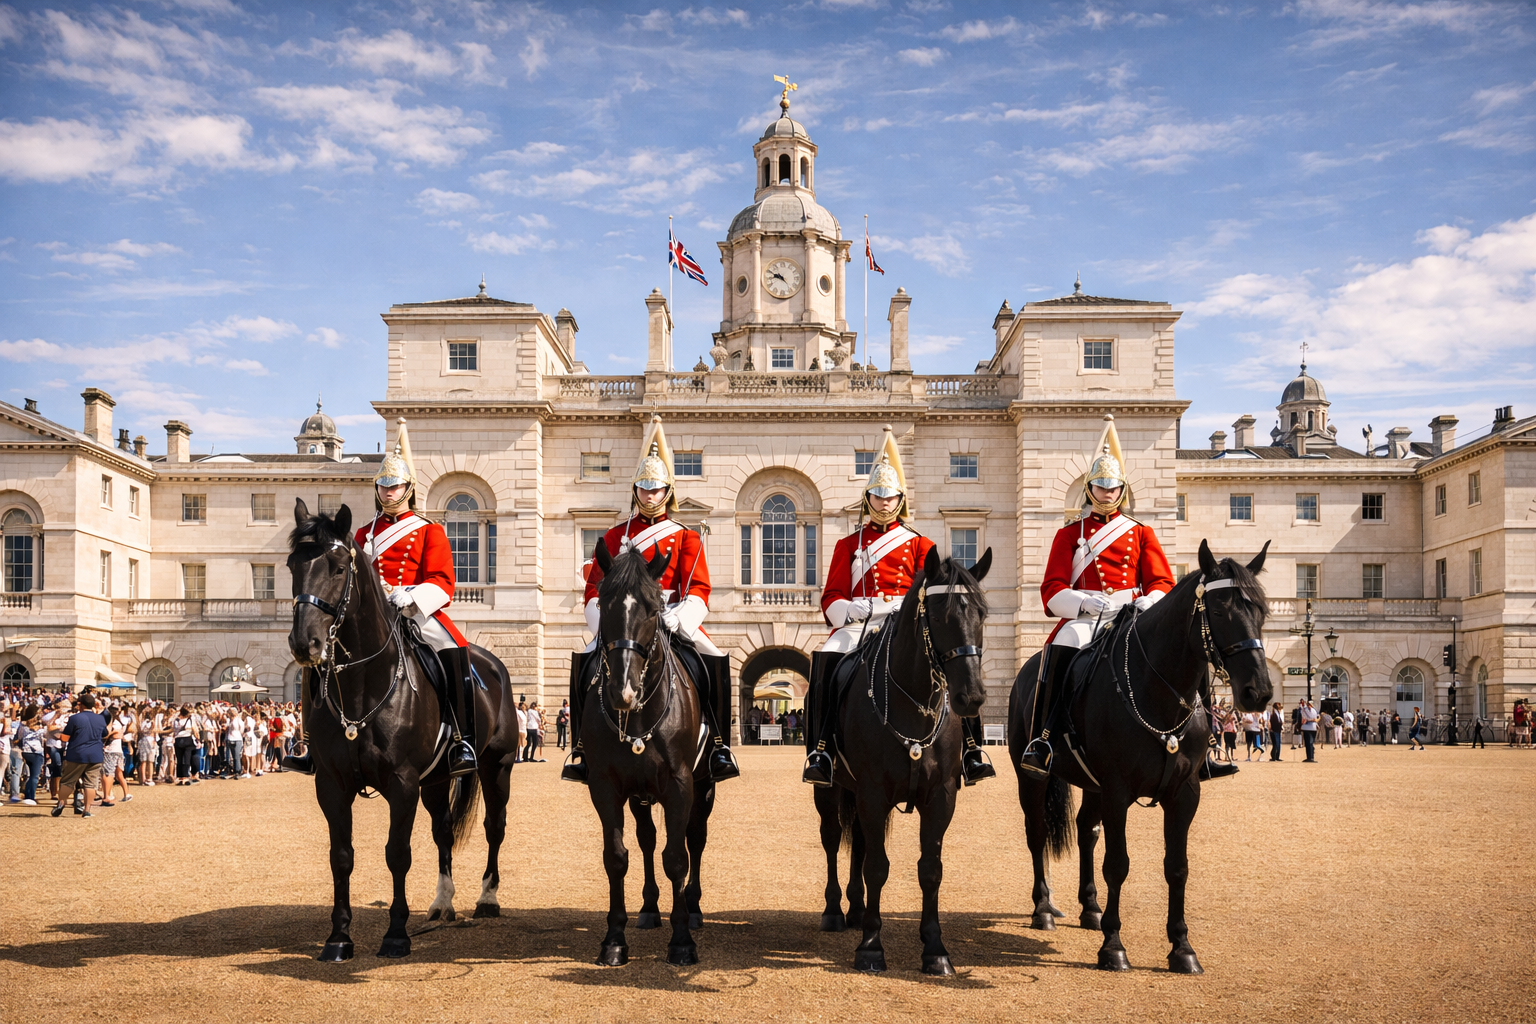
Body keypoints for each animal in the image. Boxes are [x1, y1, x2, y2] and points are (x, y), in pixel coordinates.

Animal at [286, 500, 521, 961]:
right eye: (291, 565)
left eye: (338, 567)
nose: (305, 645)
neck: (361, 686)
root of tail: (489, 660)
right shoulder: (332, 784)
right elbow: (341, 857)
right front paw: (339, 937)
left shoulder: (402, 782)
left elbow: (398, 853)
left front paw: (396, 934)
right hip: (437, 779)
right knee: (443, 830)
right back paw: (443, 903)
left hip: (495, 766)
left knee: (494, 827)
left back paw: (487, 898)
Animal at [582, 540, 716, 967]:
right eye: (604, 603)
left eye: (655, 607)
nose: (622, 693)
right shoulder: (605, 786)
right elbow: (616, 856)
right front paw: (614, 939)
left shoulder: (681, 784)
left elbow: (677, 857)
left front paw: (682, 942)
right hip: (640, 795)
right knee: (646, 840)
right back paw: (648, 908)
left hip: (704, 787)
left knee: (695, 838)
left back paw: (693, 910)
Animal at [813, 546, 992, 975]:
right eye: (939, 616)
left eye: (982, 614)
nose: (971, 698)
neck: (916, 702)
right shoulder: (873, 793)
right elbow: (878, 866)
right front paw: (871, 948)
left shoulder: (940, 796)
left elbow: (930, 869)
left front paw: (935, 949)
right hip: (831, 790)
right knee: (833, 839)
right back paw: (834, 911)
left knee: (859, 843)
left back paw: (856, 910)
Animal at [1006, 539, 1273, 974]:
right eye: (1218, 611)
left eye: (1261, 612)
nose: (1258, 693)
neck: (1157, 691)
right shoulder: (1118, 791)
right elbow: (1118, 864)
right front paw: (1113, 947)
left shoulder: (1184, 794)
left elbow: (1177, 867)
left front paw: (1182, 948)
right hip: (1033, 776)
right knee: (1038, 834)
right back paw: (1044, 909)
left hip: (1092, 785)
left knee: (1086, 830)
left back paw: (1091, 908)